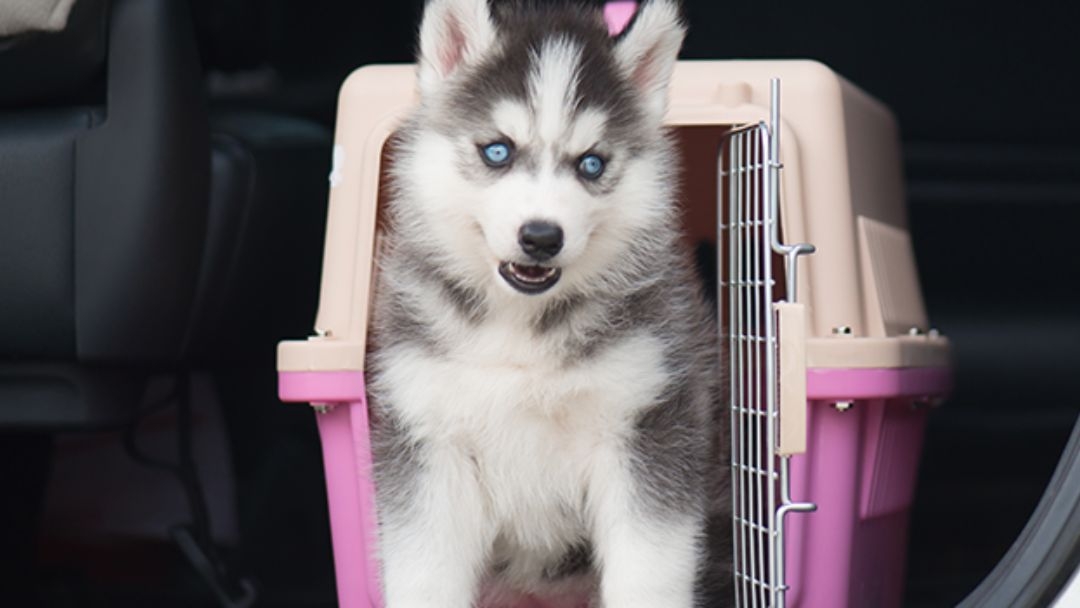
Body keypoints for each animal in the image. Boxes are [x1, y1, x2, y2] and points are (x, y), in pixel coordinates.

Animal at [367, 2, 730, 604]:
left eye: (591, 164)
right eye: (498, 150)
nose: (541, 237)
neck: (519, 328)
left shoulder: (648, 424)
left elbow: (648, 571)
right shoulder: (427, 439)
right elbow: (425, 571)